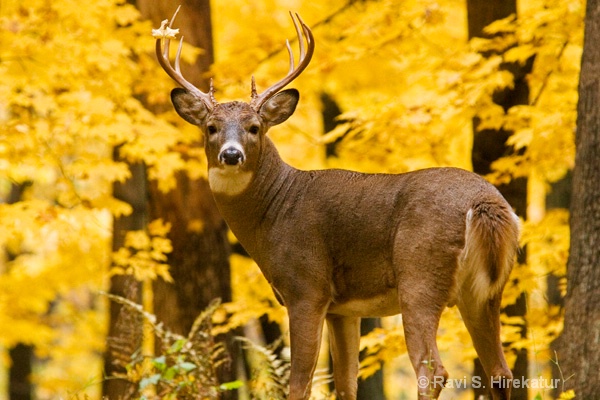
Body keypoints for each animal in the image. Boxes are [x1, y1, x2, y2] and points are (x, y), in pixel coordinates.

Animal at [155, 9, 520, 400]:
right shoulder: (343, 309)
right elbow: (346, 384)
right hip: (485, 292)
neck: (274, 211)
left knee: (433, 369)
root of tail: (486, 203)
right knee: (500, 371)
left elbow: (299, 384)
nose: (231, 154)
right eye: (211, 127)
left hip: (420, 274)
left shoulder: (306, 287)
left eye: (254, 127)